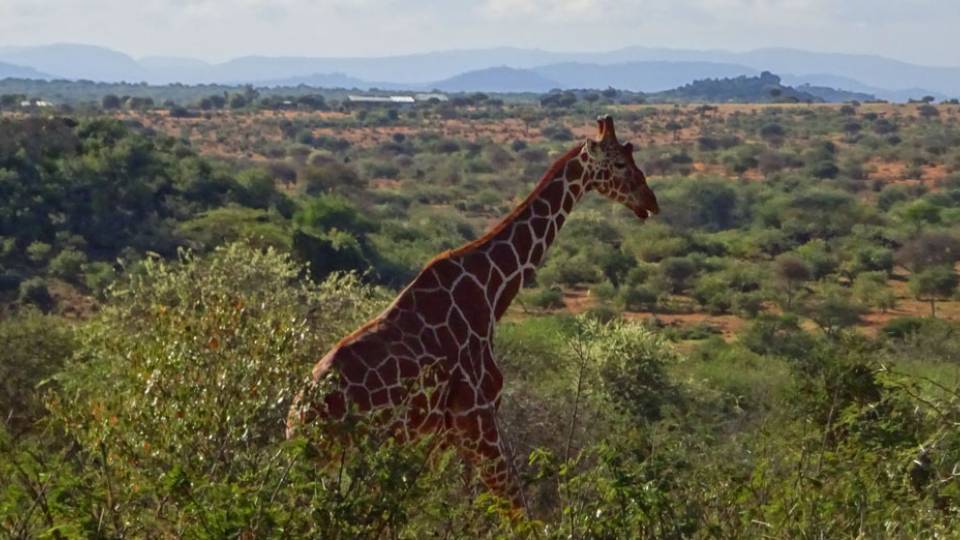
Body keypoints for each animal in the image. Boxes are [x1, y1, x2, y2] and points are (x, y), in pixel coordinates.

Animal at [287, 115, 659, 509]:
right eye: (619, 164)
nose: (651, 202)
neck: (490, 291)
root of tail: (297, 420)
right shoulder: (476, 417)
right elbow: (514, 505)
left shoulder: (439, 433)